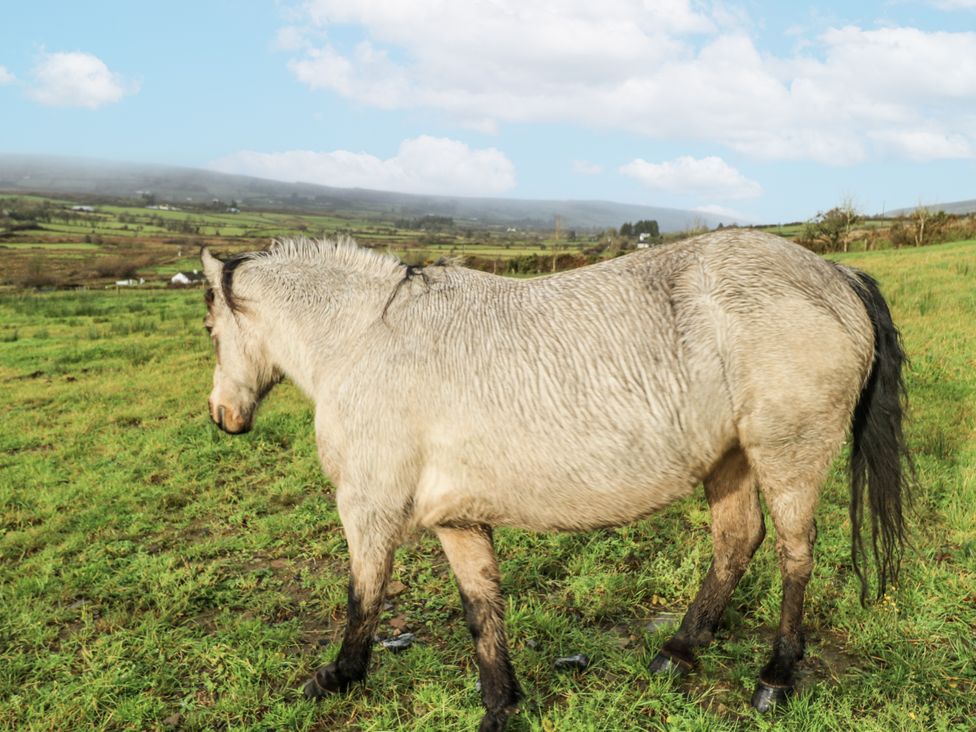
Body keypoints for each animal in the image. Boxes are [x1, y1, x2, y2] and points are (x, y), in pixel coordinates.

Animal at [200, 231, 911, 731]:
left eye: (210, 327)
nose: (223, 417)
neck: (366, 336)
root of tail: (836, 274)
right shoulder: (456, 518)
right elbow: (481, 609)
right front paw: (500, 706)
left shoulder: (369, 509)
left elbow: (362, 598)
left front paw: (337, 677)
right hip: (729, 460)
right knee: (737, 541)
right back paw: (677, 651)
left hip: (786, 455)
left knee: (795, 554)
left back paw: (775, 677)